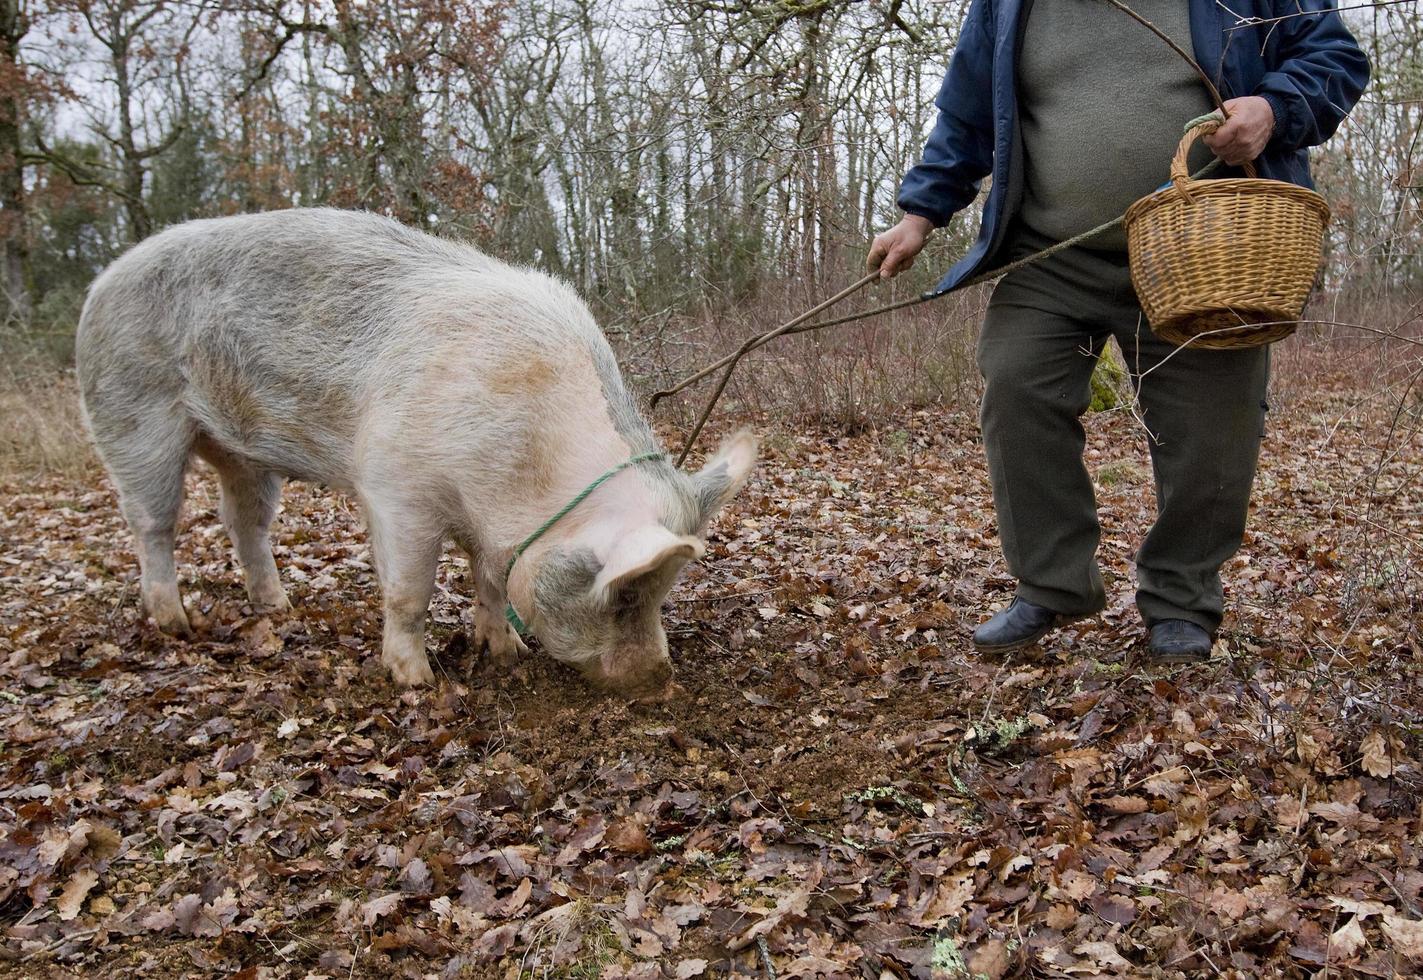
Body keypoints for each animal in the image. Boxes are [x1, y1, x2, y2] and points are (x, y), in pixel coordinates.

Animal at [76, 207, 757, 696]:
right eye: (624, 595)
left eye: (663, 591)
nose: (658, 681)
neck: (525, 472)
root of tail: (102, 281)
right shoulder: (395, 488)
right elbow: (409, 589)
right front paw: (417, 681)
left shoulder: (490, 525)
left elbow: (490, 582)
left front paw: (504, 655)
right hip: (133, 417)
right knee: (153, 523)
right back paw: (175, 624)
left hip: (240, 454)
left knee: (243, 521)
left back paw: (278, 605)